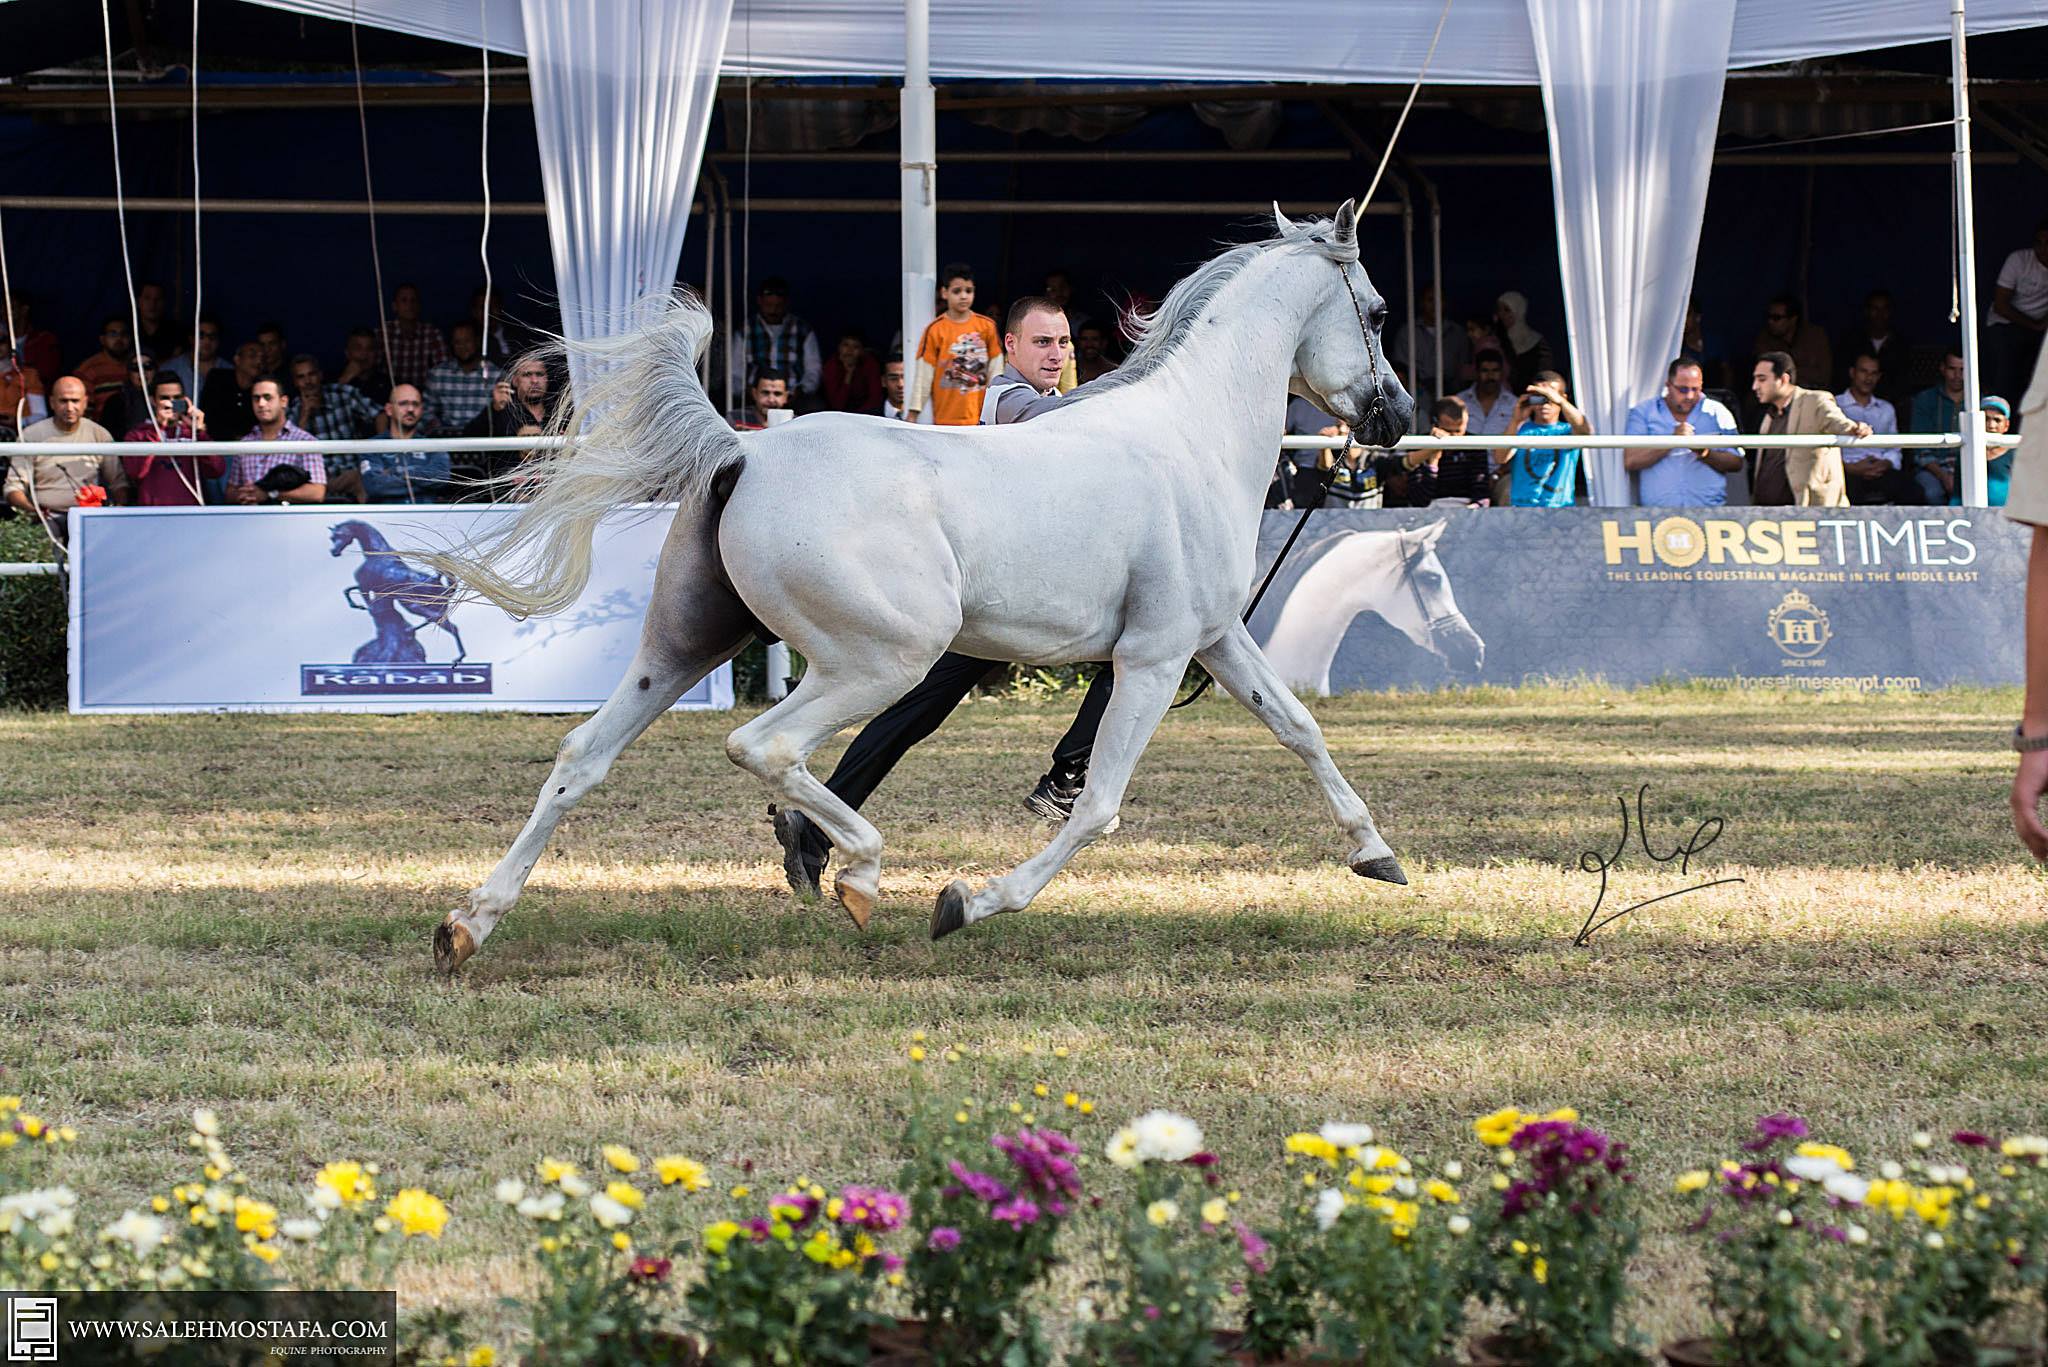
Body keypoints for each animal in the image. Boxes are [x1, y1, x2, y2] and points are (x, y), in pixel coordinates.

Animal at [329, 519, 467, 665]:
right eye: (331, 538)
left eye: (338, 535)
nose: (334, 552)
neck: (376, 553)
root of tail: (441, 586)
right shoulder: (375, 589)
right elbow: (348, 590)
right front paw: (360, 606)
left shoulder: (365, 586)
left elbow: (358, 597)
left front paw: (361, 606)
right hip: (432, 607)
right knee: (445, 624)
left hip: (411, 604)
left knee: (438, 620)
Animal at [420, 200, 1413, 973]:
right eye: (1376, 309)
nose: (1397, 417)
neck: (1190, 437)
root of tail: (743, 450)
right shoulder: (1155, 654)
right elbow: (1096, 804)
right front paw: (967, 901)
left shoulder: (1215, 638)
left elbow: (1300, 726)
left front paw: (1377, 854)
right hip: (881, 659)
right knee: (763, 745)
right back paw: (858, 874)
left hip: (683, 647)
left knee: (581, 756)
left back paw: (467, 925)